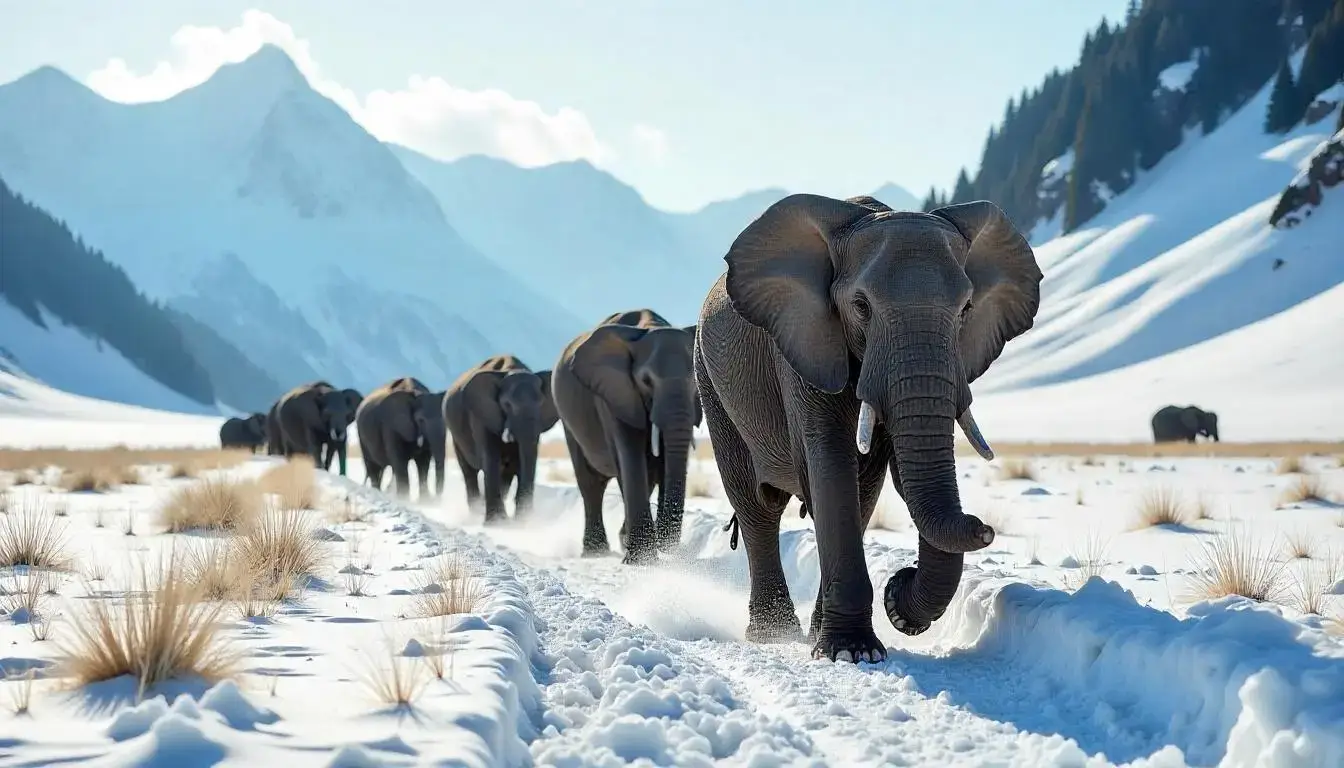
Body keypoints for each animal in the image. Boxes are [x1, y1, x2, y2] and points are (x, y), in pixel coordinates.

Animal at [444, 355, 558, 523]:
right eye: (507, 404)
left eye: (541, 402)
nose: (527, 517)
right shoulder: (481, 415)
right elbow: (491, 458)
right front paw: (496, 523)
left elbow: (520, 462)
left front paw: (521, 522)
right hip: (455, 436)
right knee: (469, 472)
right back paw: (476, 513)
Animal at [551, 309, 701, 563]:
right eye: (646, 381)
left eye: (696, 382)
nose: (668, 546)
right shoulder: (612, 394)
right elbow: (630, 454)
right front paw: (642, 561)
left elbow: (661, 462)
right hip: (568, 422)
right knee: (591, 485)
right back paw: (596, 552)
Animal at [695, 194, 1042, 662]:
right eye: (861, 307)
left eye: (967, 309)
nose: (984, 527)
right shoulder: (804, 347)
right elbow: (831, 467)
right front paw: (851, 652)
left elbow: (866, 488)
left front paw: (841, 641)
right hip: (710, 382)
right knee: (756, 507)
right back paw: (770, 634)